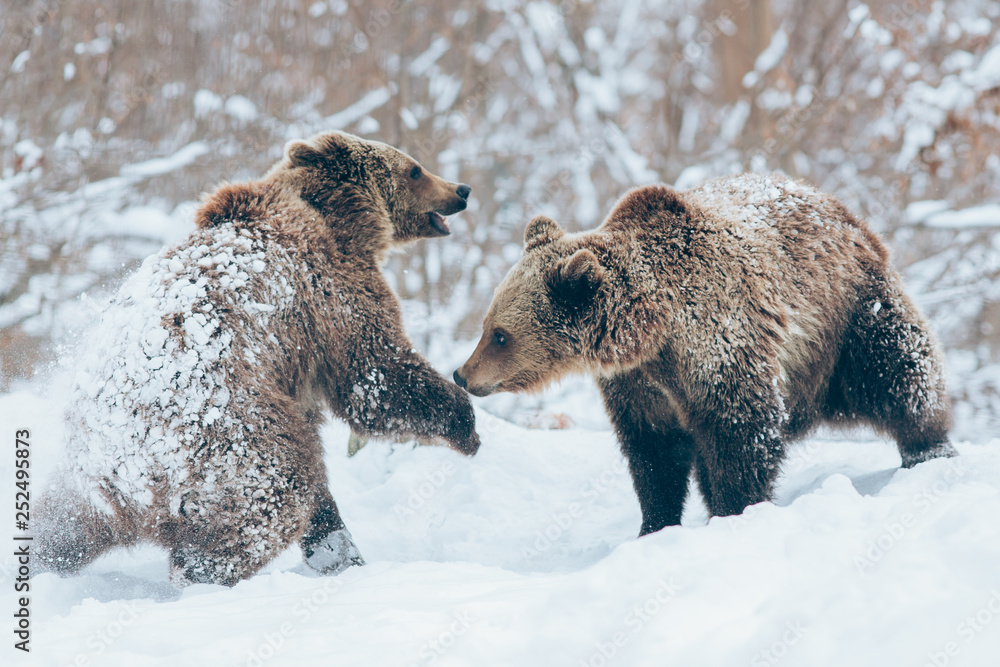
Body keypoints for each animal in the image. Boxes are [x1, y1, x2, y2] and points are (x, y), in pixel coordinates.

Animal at [36, 130, 480, 586]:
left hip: (86, 482)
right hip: (231, 431)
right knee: (276, 493)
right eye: (414, 169)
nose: (461, 190)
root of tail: (122, 473)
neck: (337, 218)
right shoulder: (329, 292)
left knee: (63, 523)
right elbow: (374, 377)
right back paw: (201, 573)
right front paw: (465, 423)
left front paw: (334, 550)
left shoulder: (296, 367)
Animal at [455, 173, 956, 535]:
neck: (652, 335)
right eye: (487, 326)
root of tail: (838, 207)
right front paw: (655, 525)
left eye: (499, 335)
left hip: (848, 316)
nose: (462, 373)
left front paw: (734, 511)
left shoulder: (720, 347)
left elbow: (739, 436)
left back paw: (929, 448)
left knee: (900, 372)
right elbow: (654, 454)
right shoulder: (640, 387)